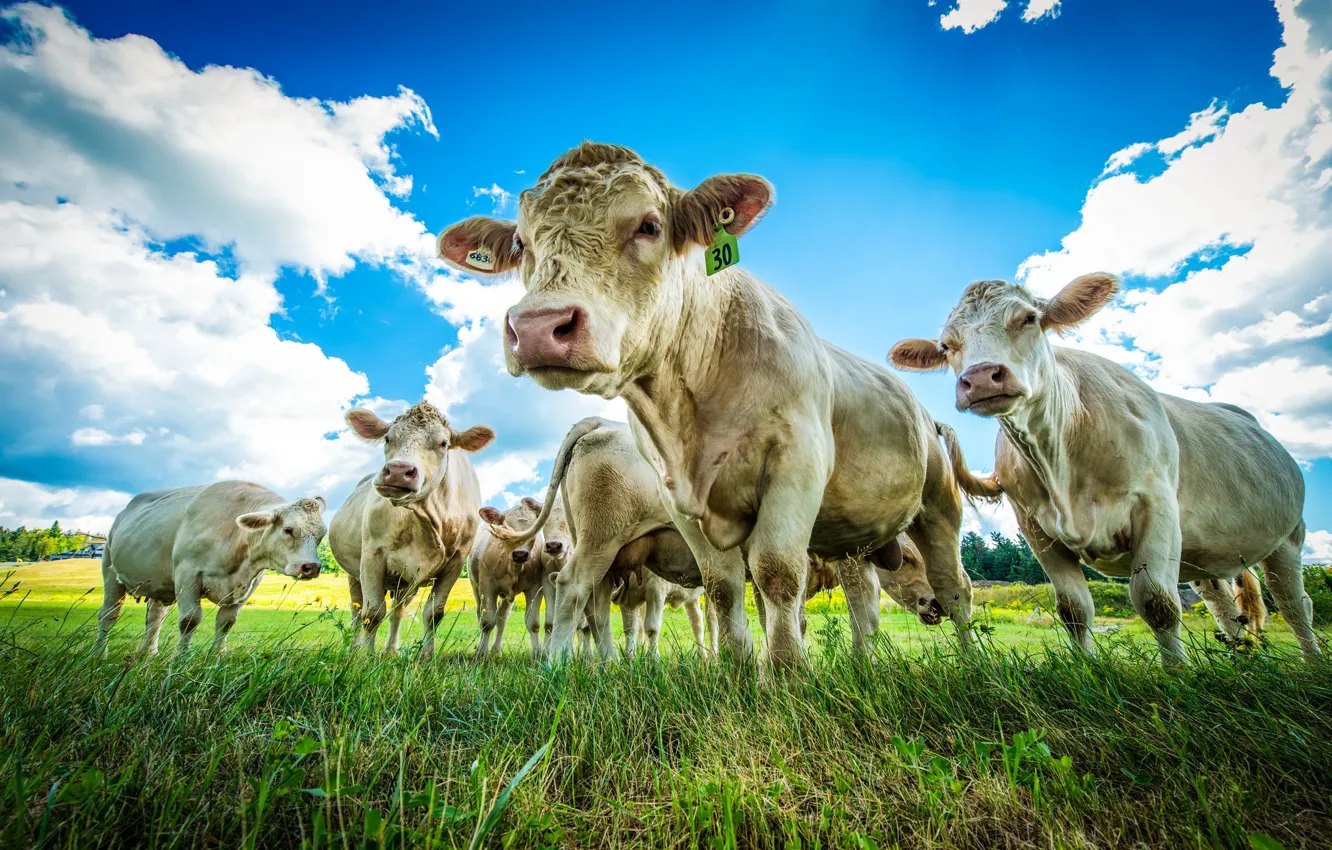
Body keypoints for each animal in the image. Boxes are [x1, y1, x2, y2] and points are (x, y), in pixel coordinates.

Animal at [93, 481, 326, 657]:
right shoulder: (187, 576)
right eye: (288, 530)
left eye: (321, 535)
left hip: (158, 583)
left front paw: (215, 659)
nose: (311, 567)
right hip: (110, 570)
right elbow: (190, 620)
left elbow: (226, 623)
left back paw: (148, 654)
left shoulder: (245, 587)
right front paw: (180, 661)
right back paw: (99, 654)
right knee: (109, 615)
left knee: (154, 618)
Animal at [328, 401, 494, 657]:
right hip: (354, 574)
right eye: (388, 438)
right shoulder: (372, 556)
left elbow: (434, 613)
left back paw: (391, 650)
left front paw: (427, 655)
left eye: (443, 443)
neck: (425, 517)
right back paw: (355, 649)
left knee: (396, 611)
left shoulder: (455, 562)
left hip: (403, 583)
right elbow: (372, 612)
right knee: (357, 610)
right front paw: (366, 656)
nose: (398, 470)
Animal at [469, 498, 552, 660]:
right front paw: (481, 654)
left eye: (534, 529)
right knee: (480, 615)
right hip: (476, 587)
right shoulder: (487, 586)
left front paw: (536, 654)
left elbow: (533, 623)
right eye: (505, 528)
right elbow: (487, 622)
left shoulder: (535, 588)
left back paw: (496, 650)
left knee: (502, 617)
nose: (520, 554)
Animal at [889, 274, 1320, 664]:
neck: (1060, 456)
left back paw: (1311, 663)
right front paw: (1088, 670)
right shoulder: (1036, 529)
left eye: (1029, 318)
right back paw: (1245, 662)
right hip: (1205, 554)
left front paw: (1178, 675)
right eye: (947, 345)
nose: (980, 378)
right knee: (1227, 606)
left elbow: (1157, 601)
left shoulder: (1156, 505)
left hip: (1287, 538)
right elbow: (1073, 609)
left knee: (1296, 604)